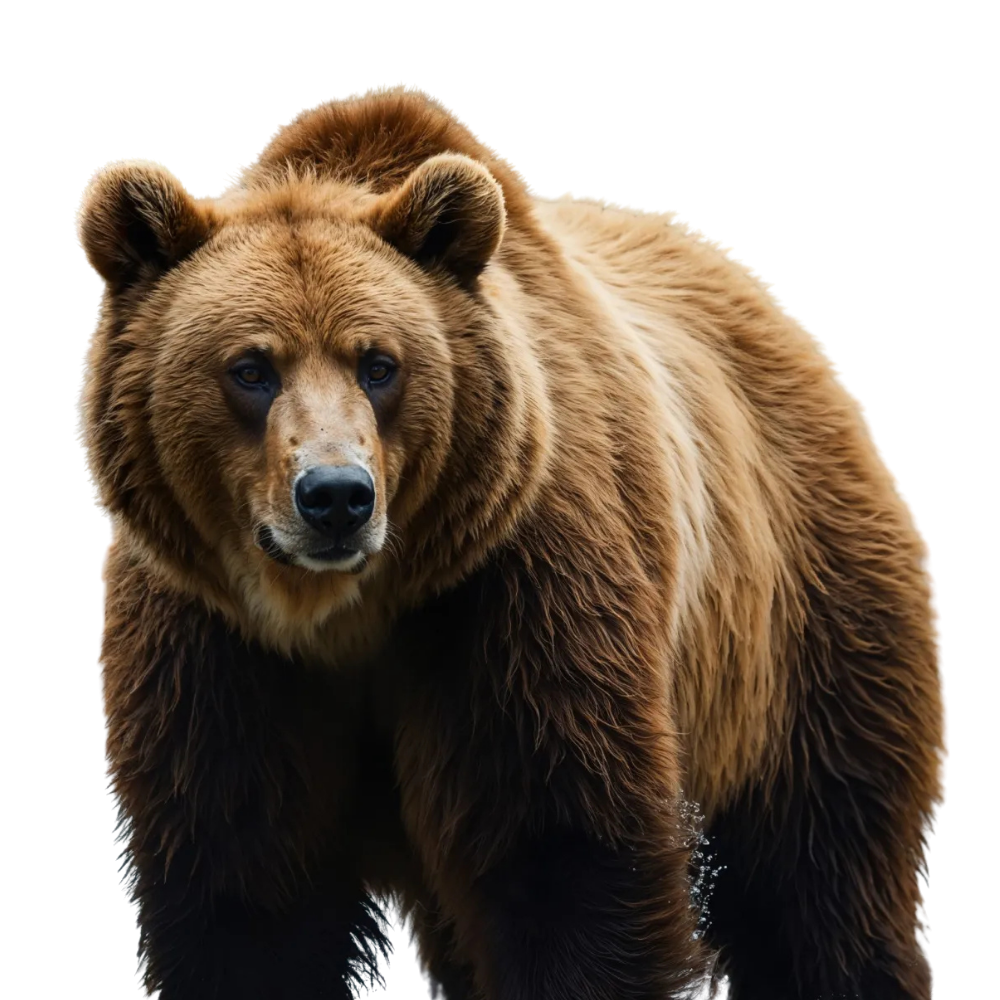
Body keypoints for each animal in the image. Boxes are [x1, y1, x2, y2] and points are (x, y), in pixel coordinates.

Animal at [73, 84, 948, 1000]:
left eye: (379, 364)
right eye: (250, 368)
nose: (336, 496)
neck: (343, 614)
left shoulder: (516, 592)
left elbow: (562, 855)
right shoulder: (216, 648)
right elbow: (244, 882)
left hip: (799, 616)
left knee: (825, 864)